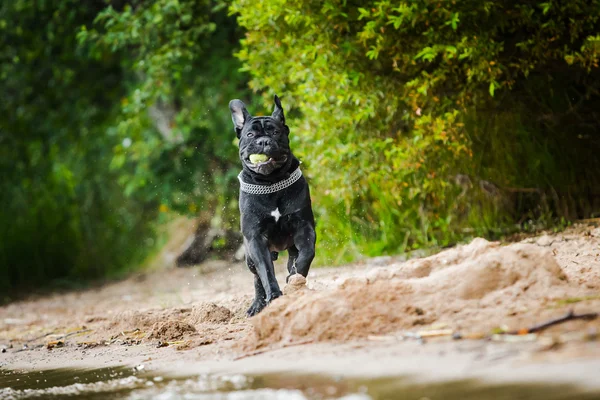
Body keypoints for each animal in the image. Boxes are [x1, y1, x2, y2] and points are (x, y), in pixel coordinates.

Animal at [229, 96, 316, 316]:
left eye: (275, 132)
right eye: (250, 134)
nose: (263, 141)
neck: (271, 183)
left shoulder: (304, 227)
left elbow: (306, 255)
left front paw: (294, 281)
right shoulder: (256, 239)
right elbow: (266, 272)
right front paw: (275, 296)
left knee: (292, 259)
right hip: (249, 256)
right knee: (257, 278)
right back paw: (257, 305)